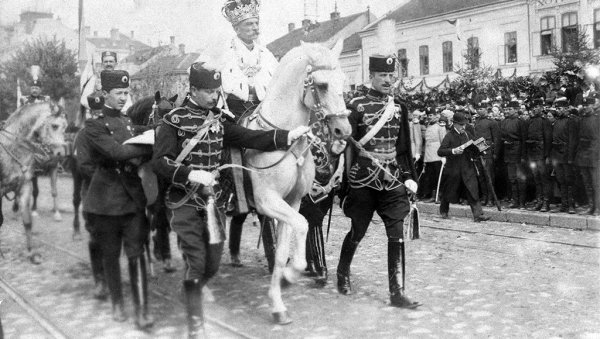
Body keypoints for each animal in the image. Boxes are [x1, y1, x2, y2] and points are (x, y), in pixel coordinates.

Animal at [244, 41, 352, 326]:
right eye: (322, 85)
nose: (344, 131)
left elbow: (283, 251)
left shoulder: (290, 202)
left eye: (344, 81)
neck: (284, 137)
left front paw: (279, 300)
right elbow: (303, 224)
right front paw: (292, 275)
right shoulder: (267, 200)